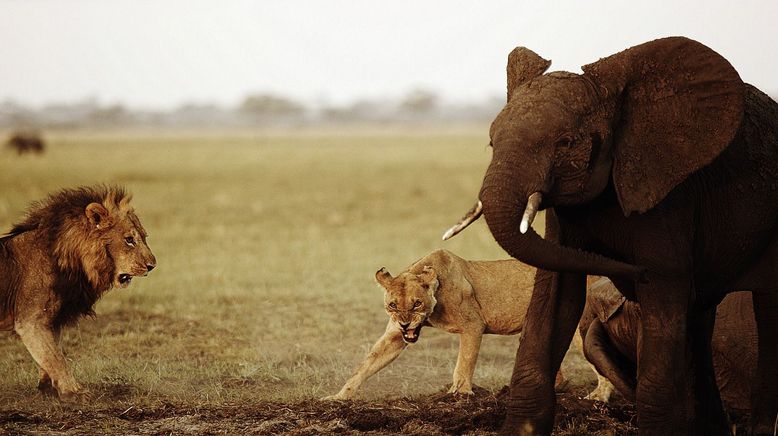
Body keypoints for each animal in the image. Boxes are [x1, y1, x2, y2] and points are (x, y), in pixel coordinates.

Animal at [0, 186, 156, 400]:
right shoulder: (30, 320)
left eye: (144, 237)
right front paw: (74, 392)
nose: (152, 266)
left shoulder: (51, 319)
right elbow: (56, 358)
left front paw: (48, 388)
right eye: (129, 240)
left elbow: (52, 353)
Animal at [324, 250, 548, 400]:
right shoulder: (395, 336)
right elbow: (365, 365)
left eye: (416, 303)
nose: (405, 324)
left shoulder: (473, 325)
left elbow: (464, 362)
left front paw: (459, 394)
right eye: (393, 305)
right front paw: (339, 397)